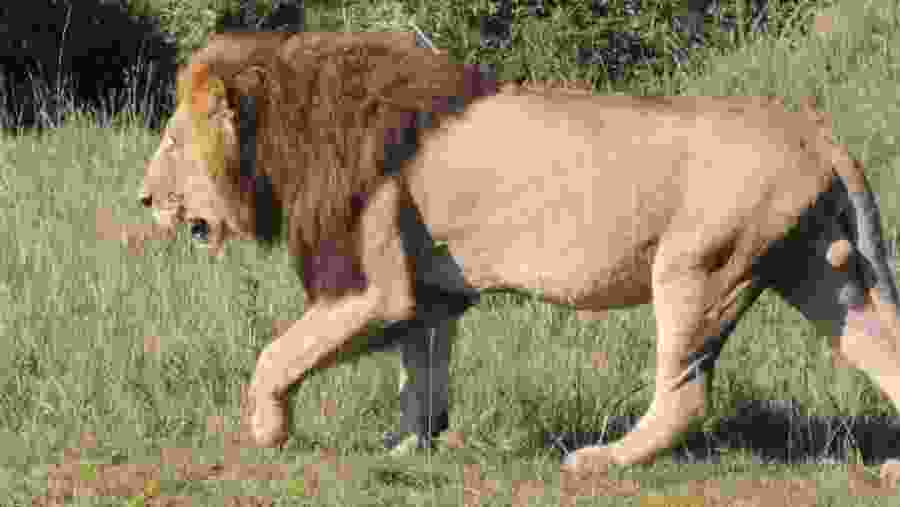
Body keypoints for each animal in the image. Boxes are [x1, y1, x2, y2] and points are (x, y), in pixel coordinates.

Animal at [139, 31, 900, 481]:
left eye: (173, 144)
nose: (144, 197)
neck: (289, 138)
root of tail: (816, 132)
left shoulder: (373, 287)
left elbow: (278, 354)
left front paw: (268, 428)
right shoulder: (430, 292)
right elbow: (422, 376)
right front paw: (409, 449)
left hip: (698, 266)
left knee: (685, 392)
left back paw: (603, 462)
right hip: (821, 272)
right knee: (881, 346)